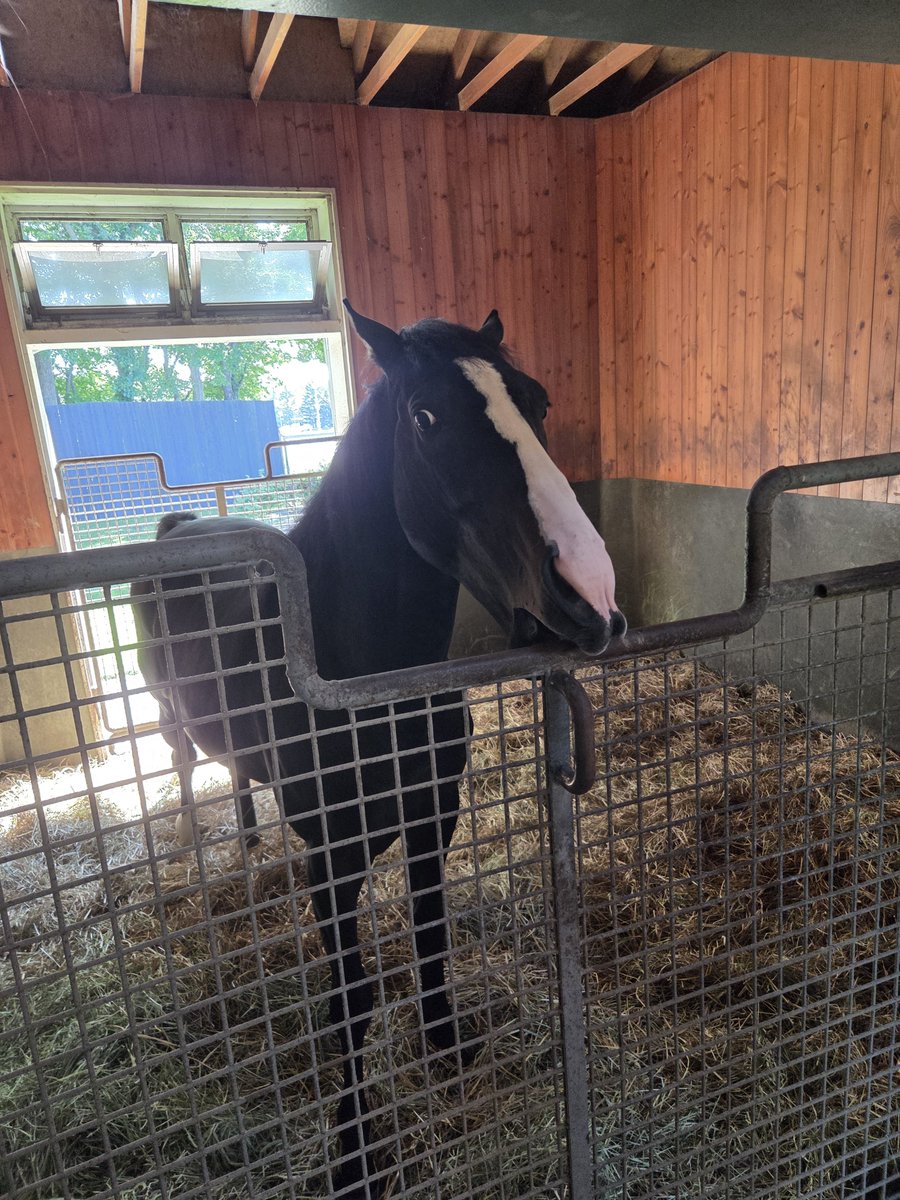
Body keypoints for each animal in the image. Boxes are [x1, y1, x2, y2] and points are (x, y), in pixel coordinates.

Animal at [131, 303, 625, 1197]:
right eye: (425, 417)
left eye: (537, 400)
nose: (591, 591)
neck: (352, 668)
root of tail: (181, 525)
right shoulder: (331, 858)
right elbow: (354, 997)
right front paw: (354, 1148)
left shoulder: (435, 818)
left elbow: (429, 933)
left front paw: (444, 1044)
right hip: (170, 720)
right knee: (186, 769)